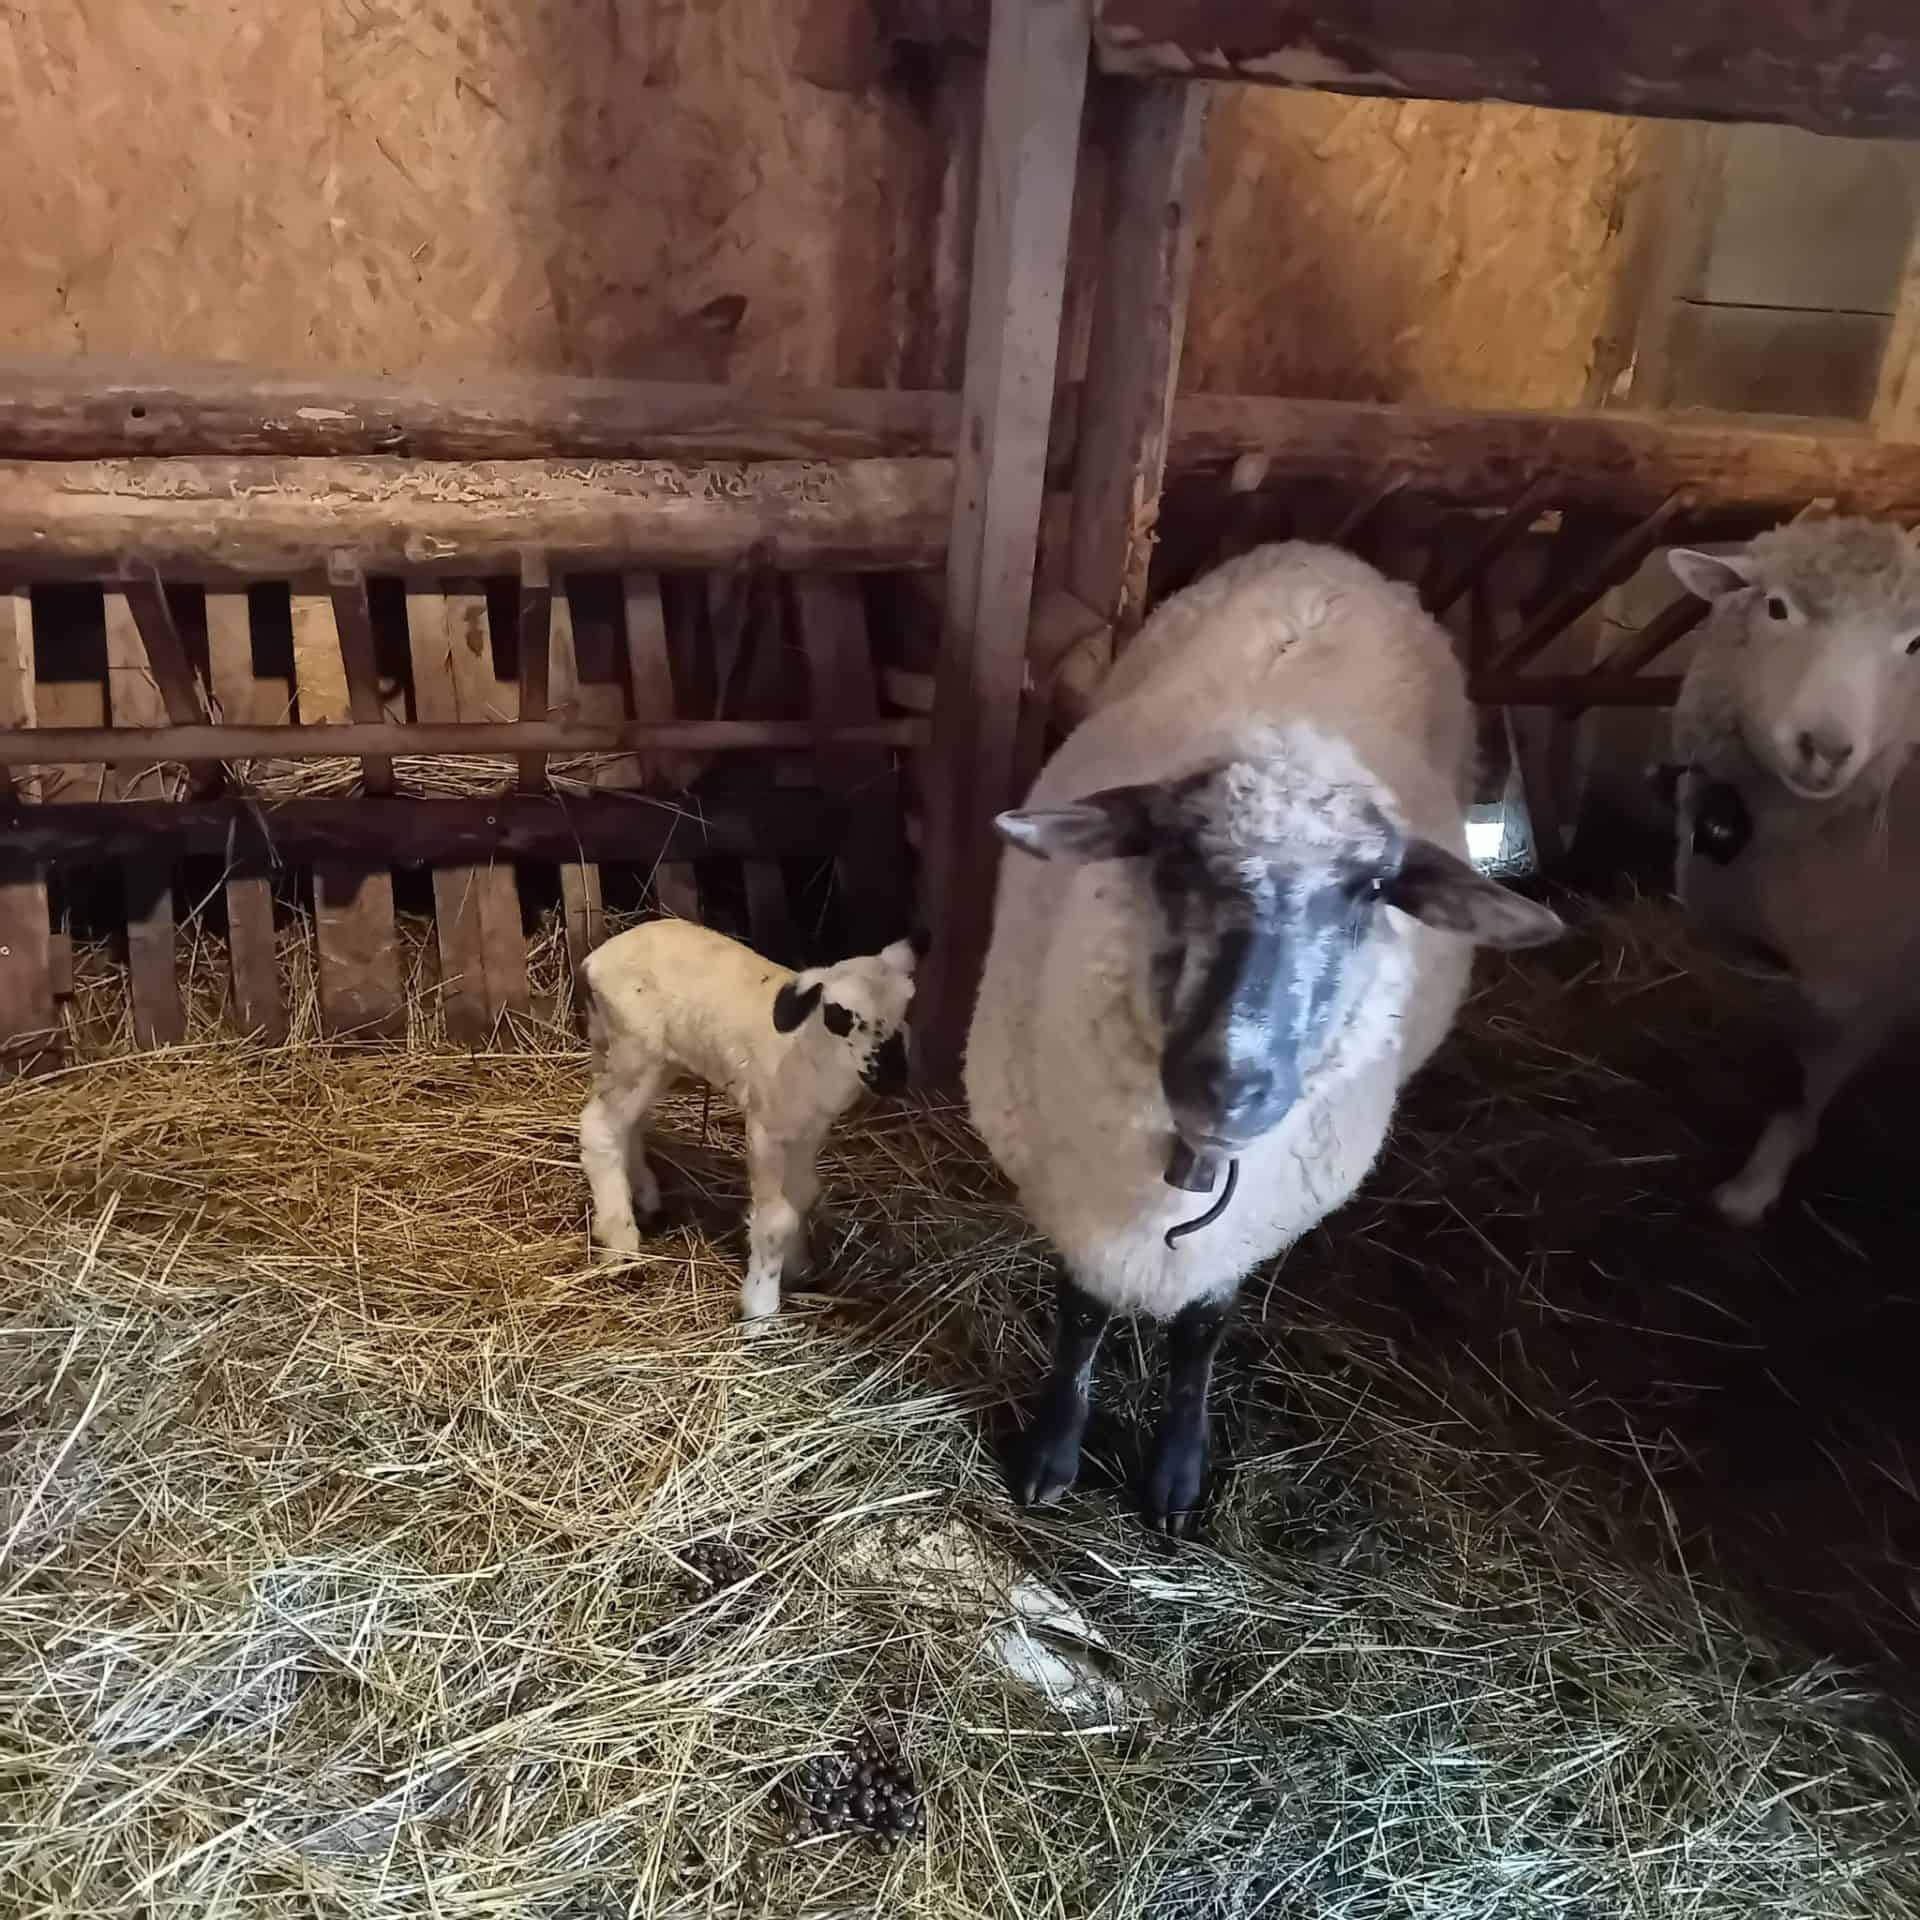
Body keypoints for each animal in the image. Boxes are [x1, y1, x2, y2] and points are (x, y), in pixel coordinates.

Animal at [578, 920, 919, 1321]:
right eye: (840, 1014)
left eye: (907, 1005)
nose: (895, 1077)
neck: (809, 1049)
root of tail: (596, 959)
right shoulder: (766, 1129)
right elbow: (776, 1220)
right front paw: (761, 1307)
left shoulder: (806, 1132)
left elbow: (804, 1196)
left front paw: (798, 1267)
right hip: (636, 1050)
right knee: (599, 1128)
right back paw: (621, 1243)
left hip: (648, 1060)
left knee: (625, 1125)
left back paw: (645, 1198)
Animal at [965, 542, 1564, 1535]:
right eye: (1176, 856)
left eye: (1372, 890)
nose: (1231, 1082)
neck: (1184, 1171)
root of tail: (1332, 558)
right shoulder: (1069, 1190)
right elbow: (1081, 1316)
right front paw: (1051, 1454)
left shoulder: (1245, 1228)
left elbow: (1201, 1333)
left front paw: (1176, 1474)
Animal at [1662, 517, 1920, 1225]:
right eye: (1776, 608)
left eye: (1917, 643)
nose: (1826, 749)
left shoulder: (1872, 980)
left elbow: (1810, 1085)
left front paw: (1755, 1184)